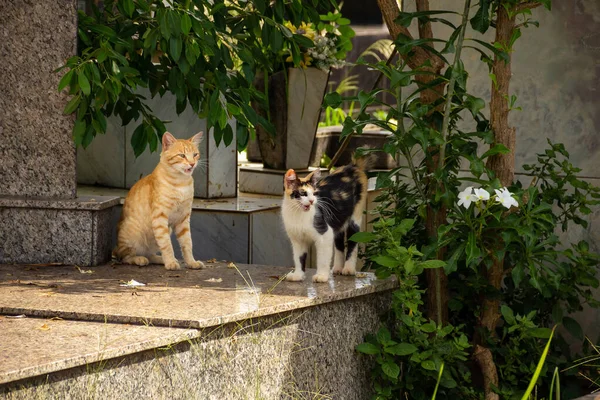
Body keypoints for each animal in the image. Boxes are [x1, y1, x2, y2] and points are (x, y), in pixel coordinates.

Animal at [113, 133, 205, 270]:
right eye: (182, 155)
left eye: (195, 154)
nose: (192, 163)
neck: (181, 183)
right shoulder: (160, 218)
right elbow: (167, 244)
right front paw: (170, 263)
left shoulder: (183, 218)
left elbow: (187, 243)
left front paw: (191, 262)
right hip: (133, 235)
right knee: (125, 257)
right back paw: (140, 259)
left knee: (150, 254)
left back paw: (159, 259)